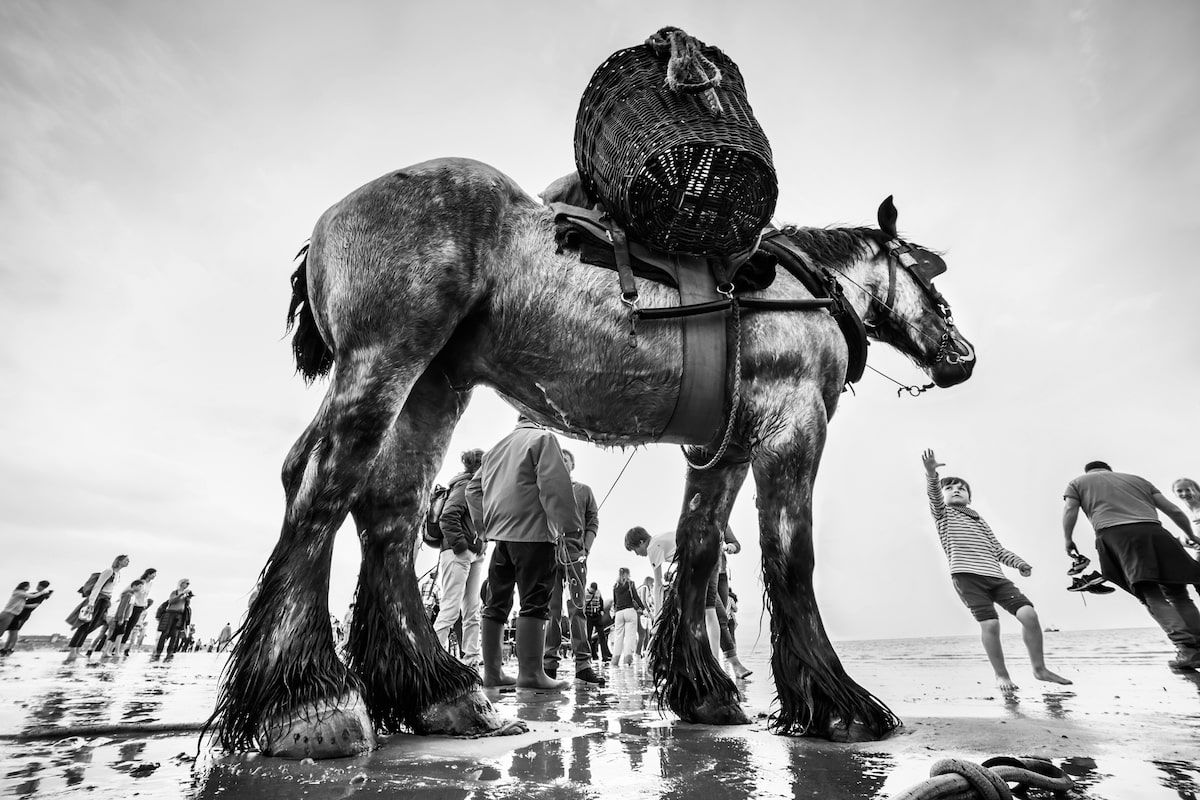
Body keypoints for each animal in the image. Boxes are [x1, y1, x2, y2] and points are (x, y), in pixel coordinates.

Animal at [208, 155, 974, 758]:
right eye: (924, 272)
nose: (961, 353)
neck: (804, 291)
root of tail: (329, 221)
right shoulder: (793, 425)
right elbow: (790, 558)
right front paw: (834, 701)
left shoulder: (721, 449)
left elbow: (698, 549)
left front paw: (704, 690)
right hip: (386, 357)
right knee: (320, 482)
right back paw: (304, 700)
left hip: (434, 384)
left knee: (387, 512)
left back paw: (436, 692)